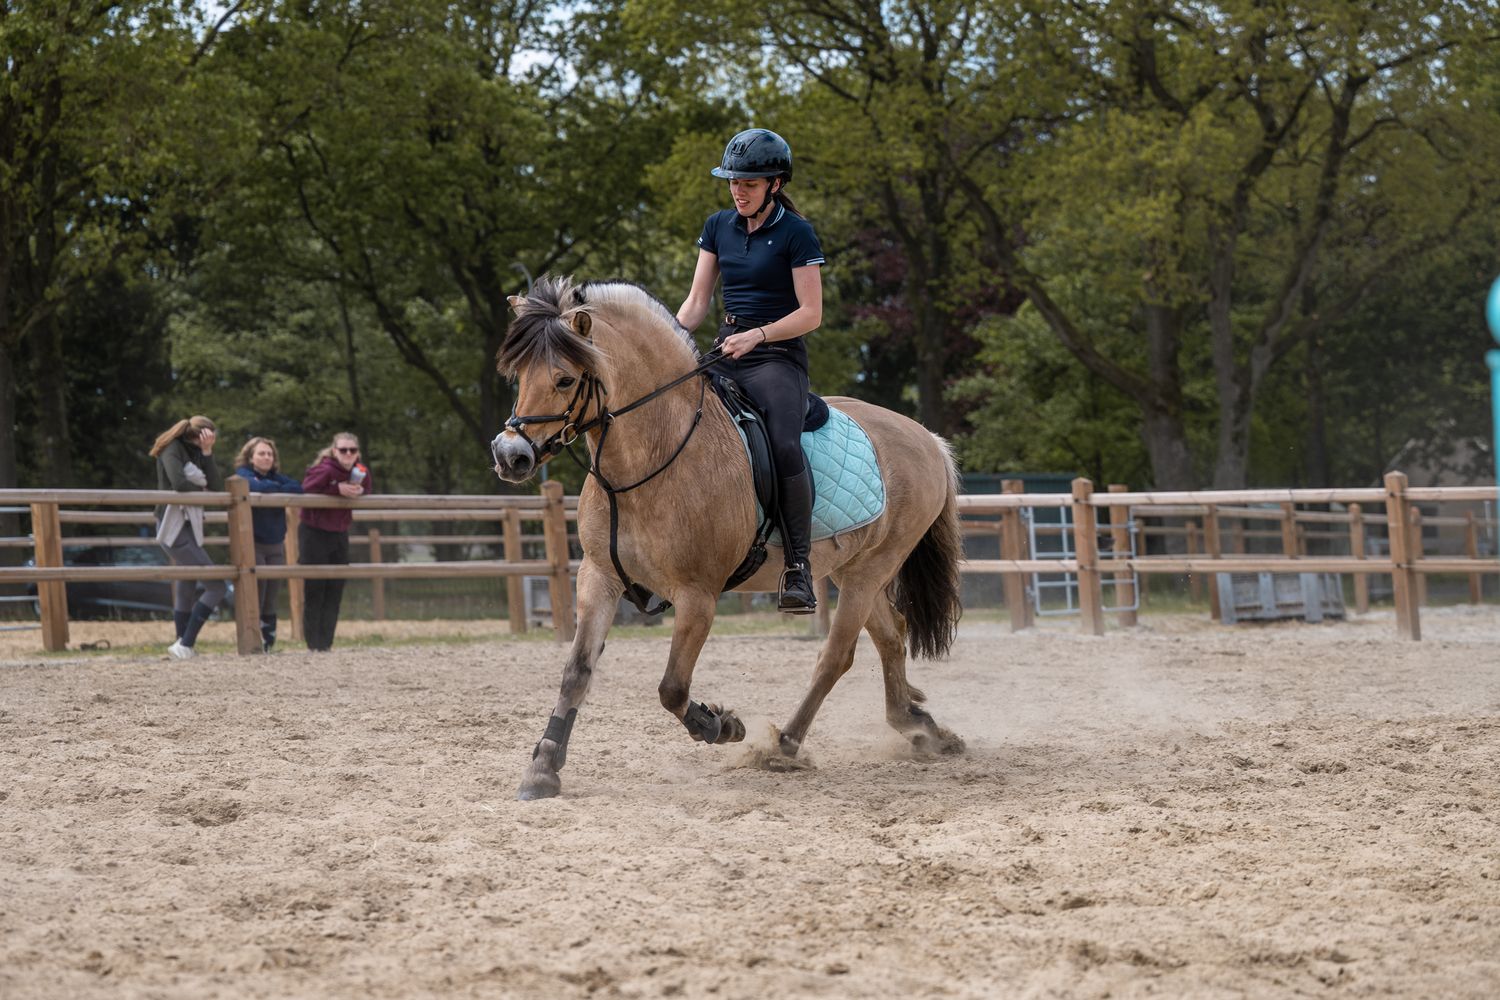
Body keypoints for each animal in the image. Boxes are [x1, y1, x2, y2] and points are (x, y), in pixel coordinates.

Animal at [491, 275, 965, 800]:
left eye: (564, 380)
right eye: (519, 378)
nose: (510, 455)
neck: (652, 455)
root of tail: (926, 438)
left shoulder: (698, 595)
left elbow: (672, 687)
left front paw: (721, 725)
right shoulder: (599, 578)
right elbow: (576, 672)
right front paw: (543, 769)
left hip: (870, 571)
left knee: (836, 656)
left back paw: (783, 745)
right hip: (853, 570)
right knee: (891, 637)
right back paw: (919, 727)